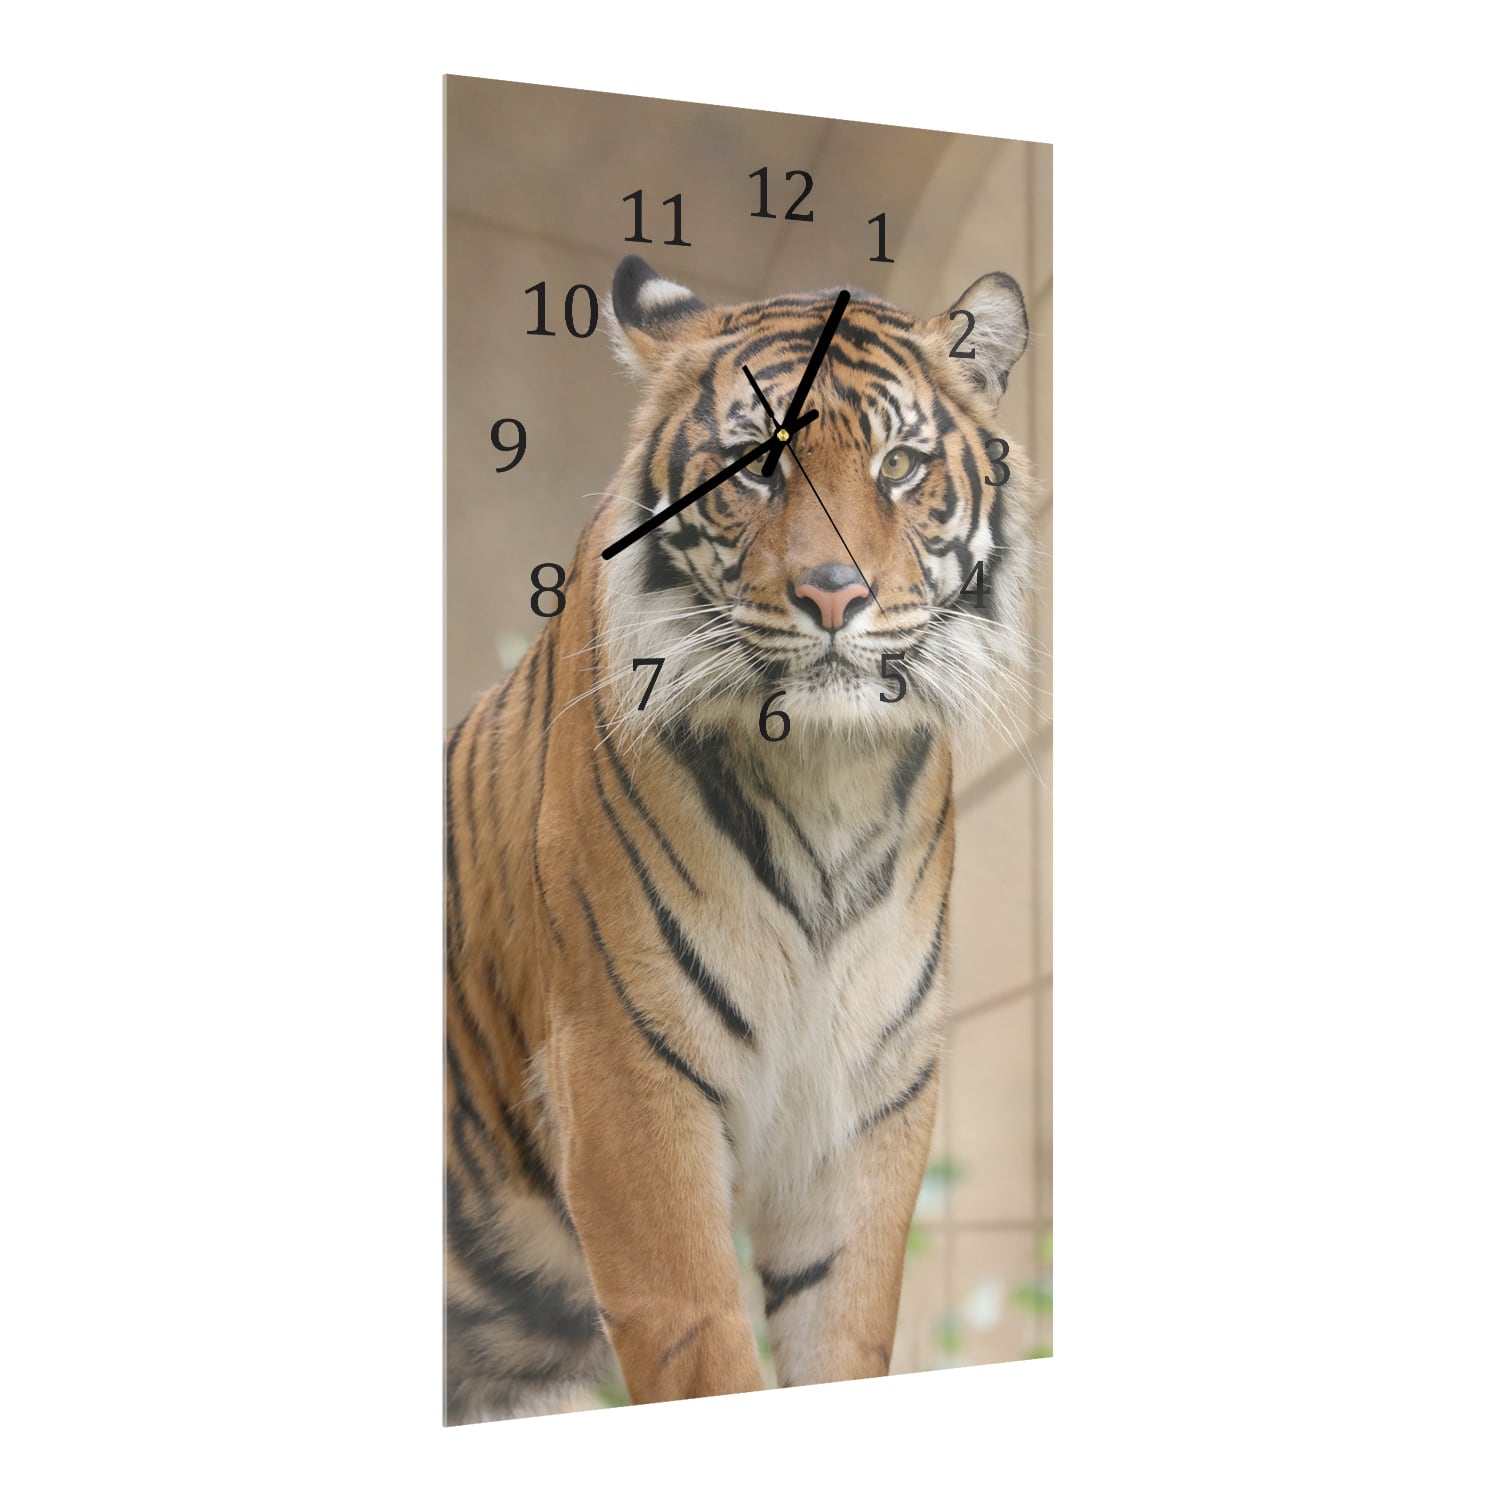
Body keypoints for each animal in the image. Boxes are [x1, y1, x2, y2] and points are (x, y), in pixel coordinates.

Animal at [444, 252, 1037, 1423]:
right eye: (755, 466)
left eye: (900, 465)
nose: (835, 595)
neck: (826, 774)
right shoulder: (627, 1079)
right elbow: (702, 1347)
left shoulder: (869, 1099)